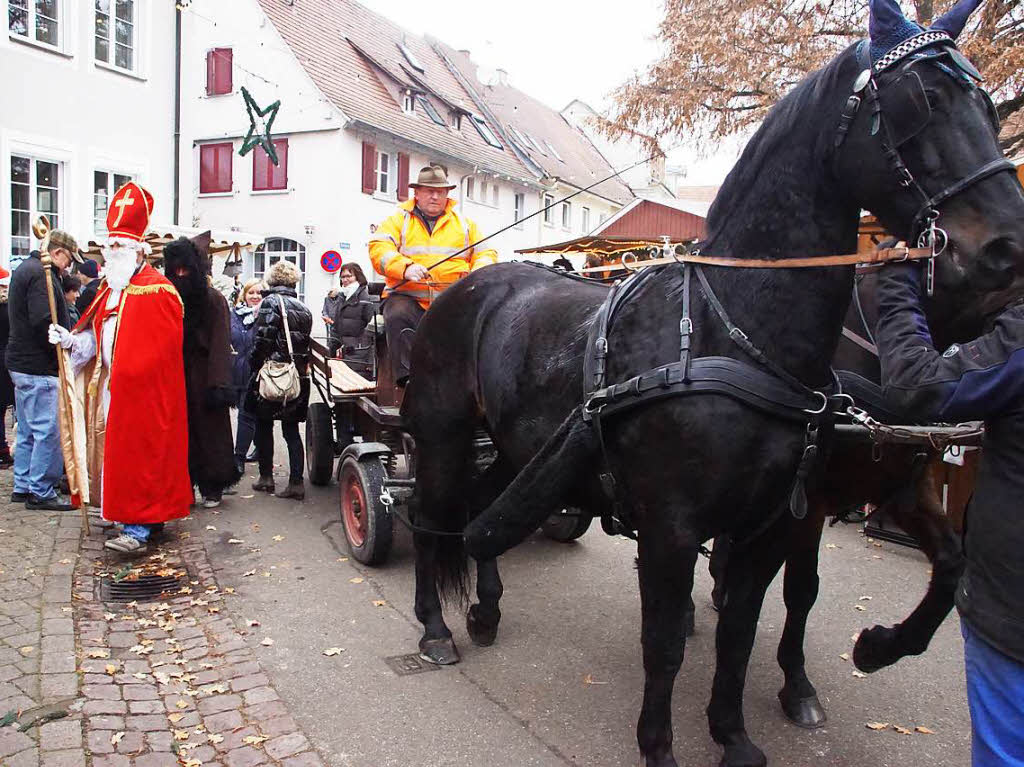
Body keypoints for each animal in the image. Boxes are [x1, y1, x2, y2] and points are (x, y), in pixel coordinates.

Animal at [399, 2, 1024, 761]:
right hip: (443, 437)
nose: (1007, 244)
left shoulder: (774, 522)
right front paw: (662, 743)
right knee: (431, 515)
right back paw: (435, 626)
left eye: (989, 107)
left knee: (484, 513)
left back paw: (485, 609)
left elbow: (742, 631)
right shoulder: (674, 528)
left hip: (520, 448)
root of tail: (467, 283)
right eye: (922, 101)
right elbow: (666, 643)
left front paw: (736, 732)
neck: (736, 334)